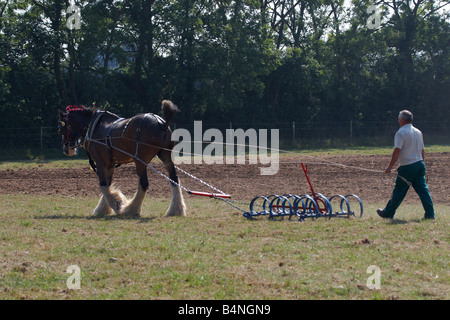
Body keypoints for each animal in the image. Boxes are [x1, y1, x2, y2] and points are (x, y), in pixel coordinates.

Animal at [57, 101, 186, 219]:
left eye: (61, 128)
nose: (66, 149)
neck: (95, 126)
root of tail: (161, 123)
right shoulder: (109, 165)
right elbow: (107, 185)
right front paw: (103, 209)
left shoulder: (100, 163)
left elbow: (103, 185)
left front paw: (116, 204)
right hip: (166, 158)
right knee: (174, 180)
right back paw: (175, 210)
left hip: (140, 161)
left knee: (143, 184)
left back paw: (131, 210)